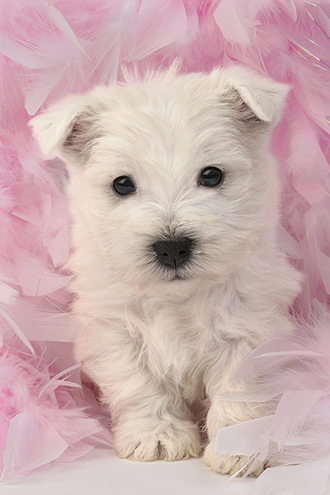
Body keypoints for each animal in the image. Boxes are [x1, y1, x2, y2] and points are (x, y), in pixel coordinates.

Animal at [31, 67, 302, 476]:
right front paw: (157, 437)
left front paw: (237, 450)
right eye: (122, 184)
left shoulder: (248, 329)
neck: (177, 297)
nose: (171, 246)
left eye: (212, 175)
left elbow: (237, 389)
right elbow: (141, 387)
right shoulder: (117, 334)